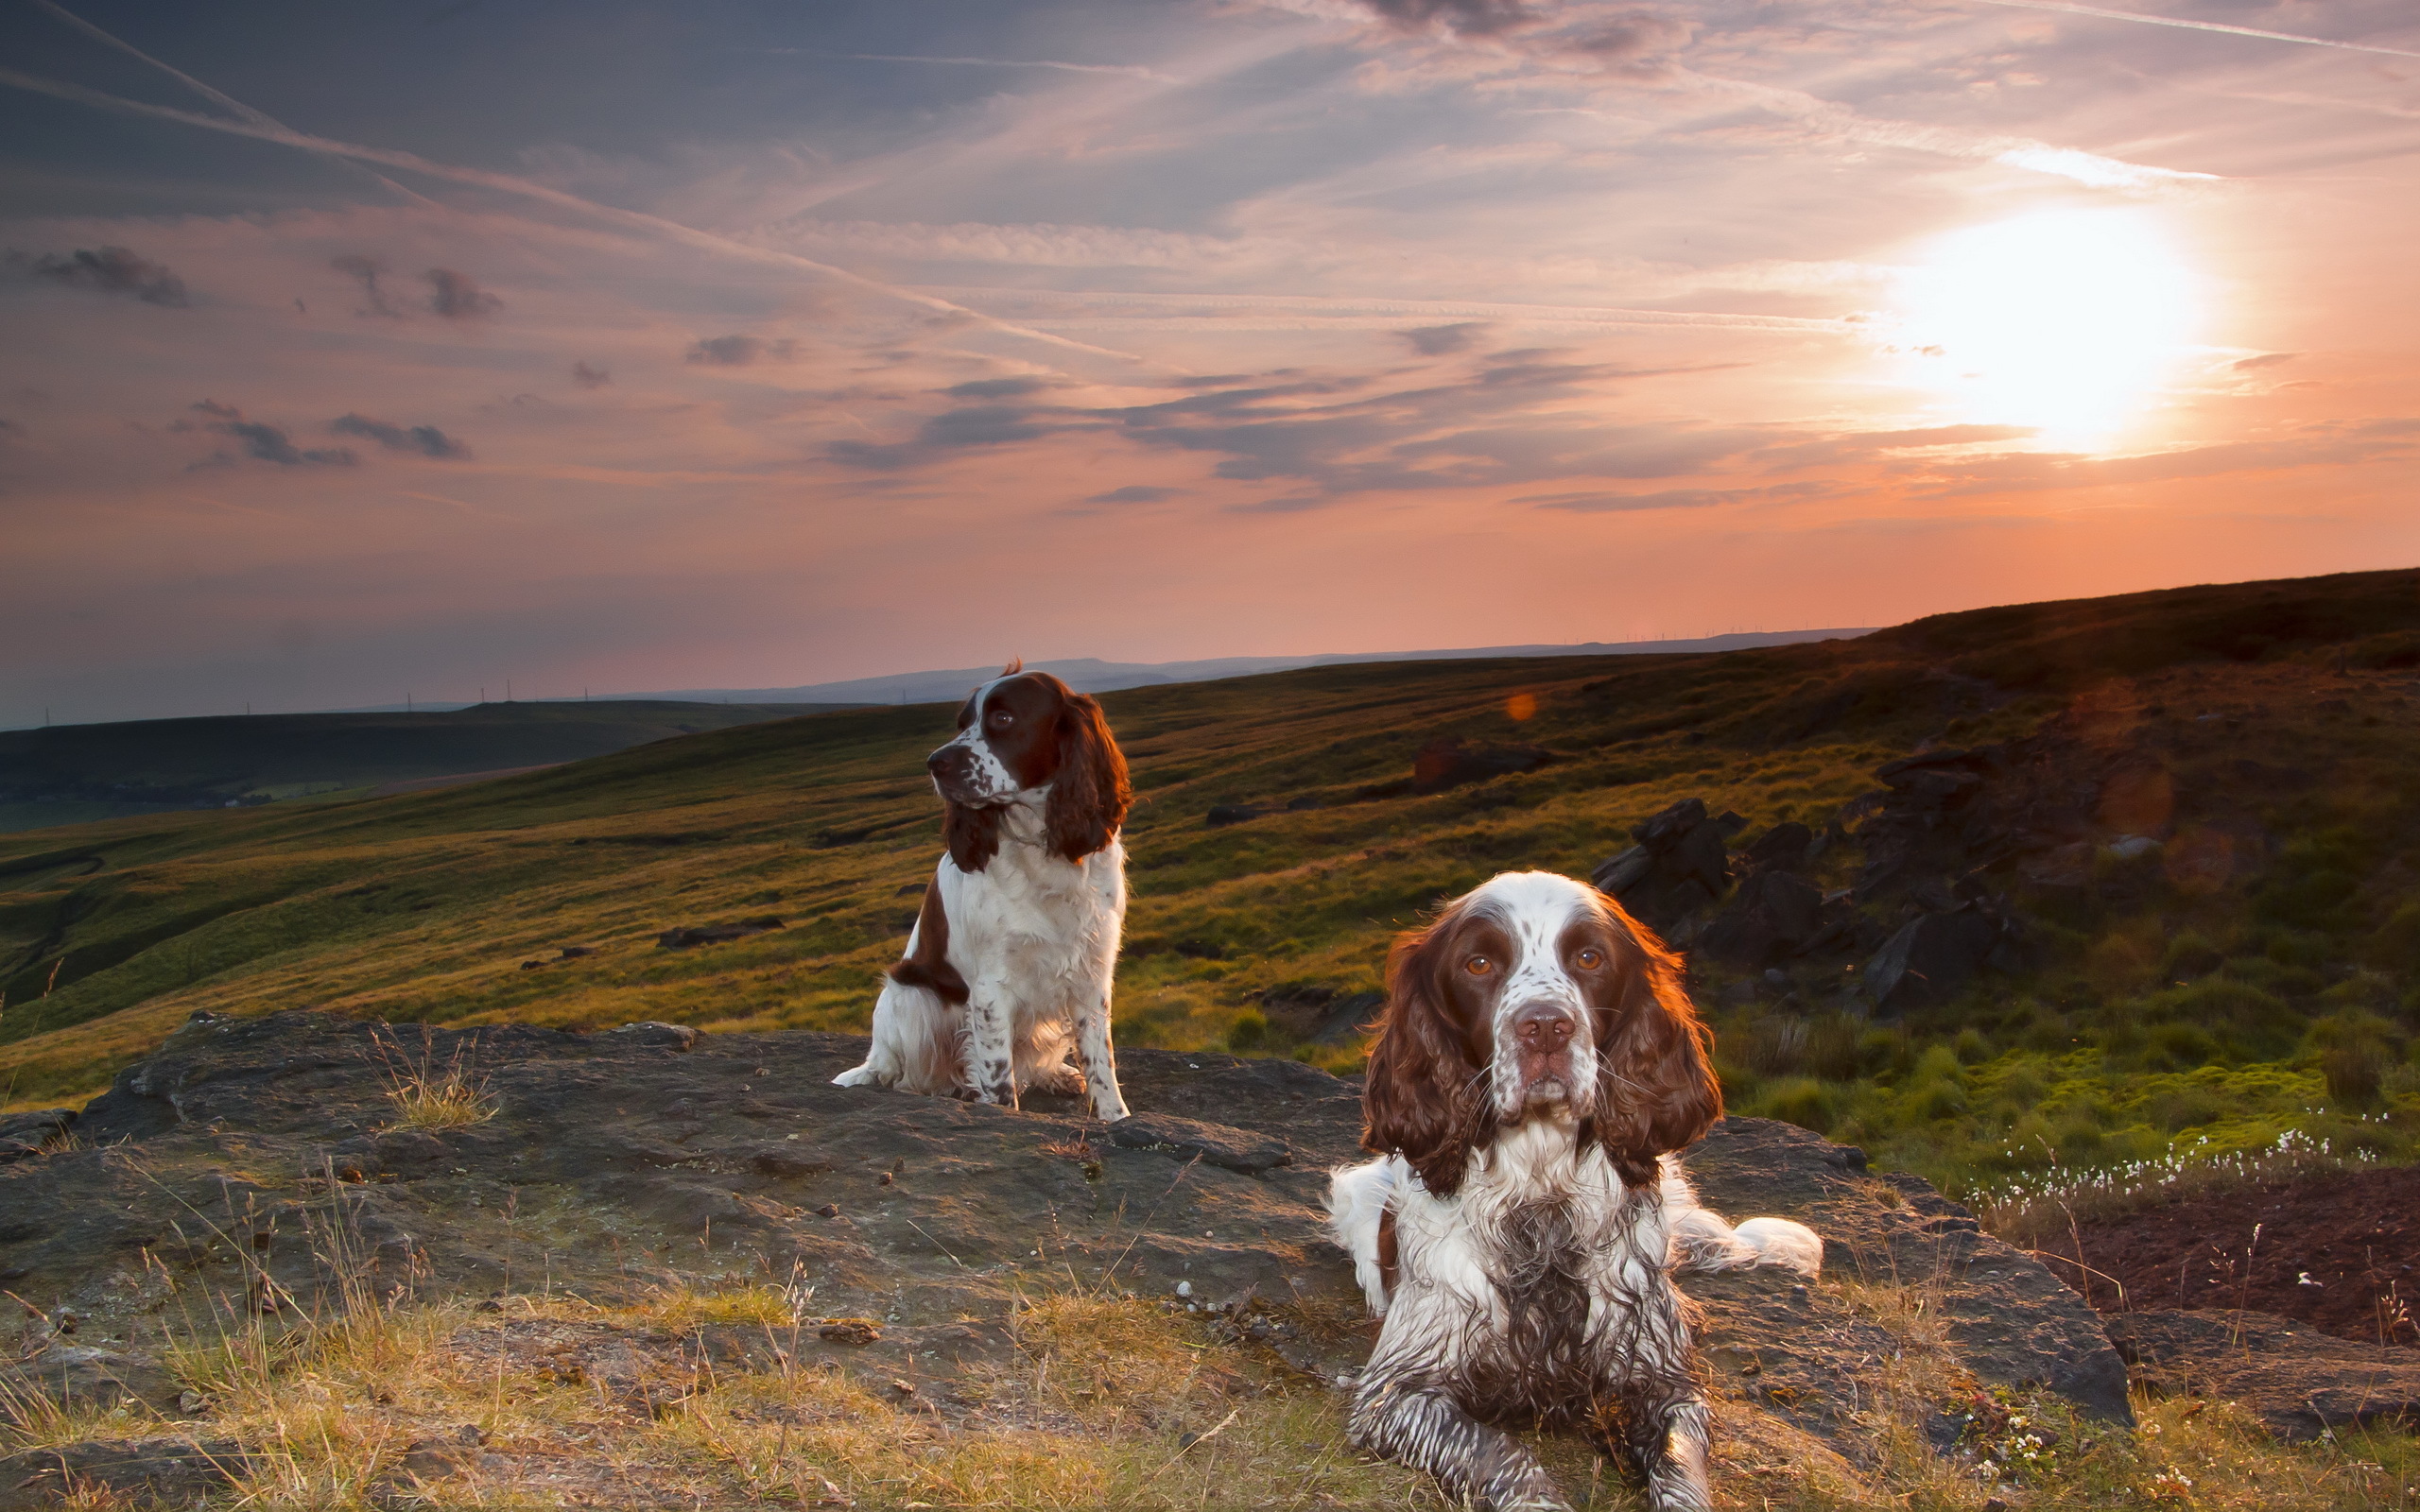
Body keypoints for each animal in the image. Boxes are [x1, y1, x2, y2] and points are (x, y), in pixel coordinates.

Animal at [832, 658, 1132, 1122]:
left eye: (1003, 719)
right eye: (962, 723)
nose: (934, 763)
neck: (1040, 847)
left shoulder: (1092, 973)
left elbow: (1102, 1061)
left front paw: (1115, 1119)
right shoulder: (992, 986)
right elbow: (998, 1075)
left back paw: (1059, 1075)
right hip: (914, 999)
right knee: (908, 1075)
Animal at [1325, 870, 1820, 1509]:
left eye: (1589, 957)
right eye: (1479, 963)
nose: (1545, 1027)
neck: (1541, 1193)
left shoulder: (1666, 1385)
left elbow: (1680, 1475)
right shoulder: (1398, 1391)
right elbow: (1506, 1456)